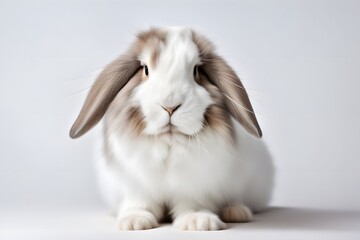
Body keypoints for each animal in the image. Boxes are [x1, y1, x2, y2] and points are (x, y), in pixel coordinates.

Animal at [69, 26, 274, 231]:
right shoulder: (136, 184)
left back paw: (236, 212)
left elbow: (193, 202)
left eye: (196, 70)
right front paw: (135, 221)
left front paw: (199, 221)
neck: (169, 142)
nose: (170, 106)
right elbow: (139, 202)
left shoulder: (196, 185)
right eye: (145, 69)